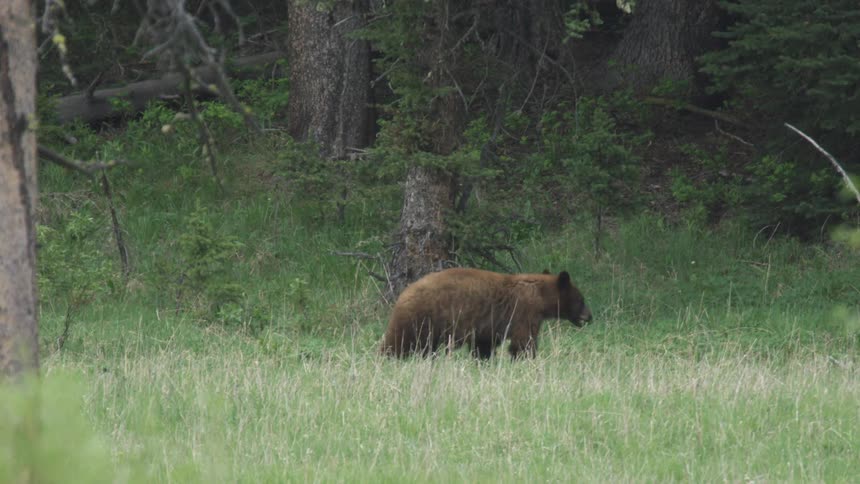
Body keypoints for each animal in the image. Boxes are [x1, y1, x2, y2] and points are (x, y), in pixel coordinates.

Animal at [380, 268, 592, 359]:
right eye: (581, 299)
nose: (590, 316)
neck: (540, 295)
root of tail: (403, 295)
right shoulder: (524, 312)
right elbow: (523, 342)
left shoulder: (487, 328)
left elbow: (483, 346)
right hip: (420, 319)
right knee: (399, 342)